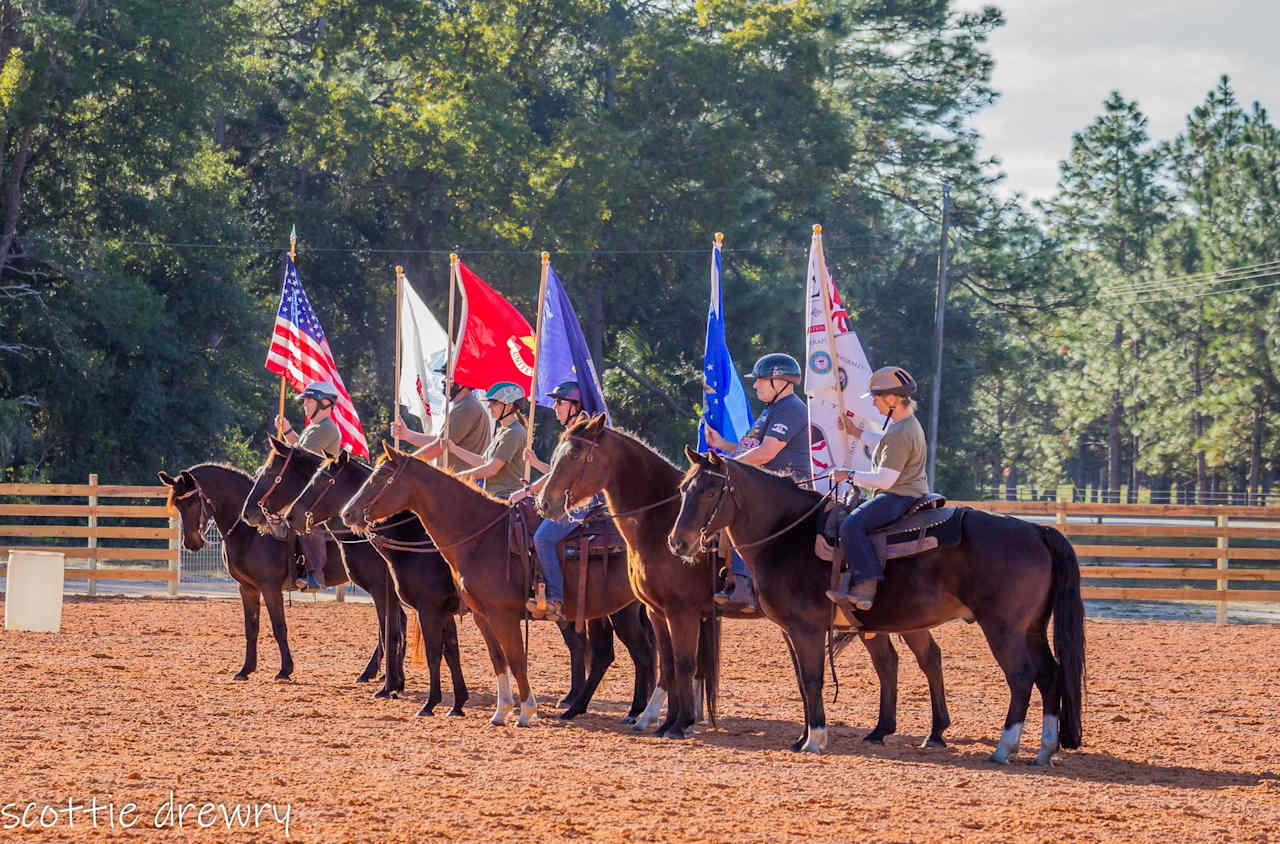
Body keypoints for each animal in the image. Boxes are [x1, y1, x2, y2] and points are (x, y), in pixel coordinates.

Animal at [244, 435, 409, 701]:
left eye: (269, 473)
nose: (248, 513)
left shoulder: (382, 588)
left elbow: (387, 631)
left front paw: (389, 684)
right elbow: (390, 631)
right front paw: (391, 680)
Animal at [537, 414, 952, 747]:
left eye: (576, 456)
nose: (546, 503)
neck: (659, 523)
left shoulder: (682, 612)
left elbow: (684, 664)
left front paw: (679, 724)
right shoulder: (657, 611)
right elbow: (668, 664)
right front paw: (666, 721)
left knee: (922, 658)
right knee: (897, 661)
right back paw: (892, 730)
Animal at [665, 448, 1085, 768]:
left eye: (709, 492)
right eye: (685, 488)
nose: (677, 543)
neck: (789, 535)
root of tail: (1036, 530)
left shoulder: (806, 627)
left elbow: (813, 679)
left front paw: (815, 739)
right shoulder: (790, 630)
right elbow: (803, 681)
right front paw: (801, 737)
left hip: (1003, 628)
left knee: (1022, 676)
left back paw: (1005, 747)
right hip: (1031, 628)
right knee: (1050, 674)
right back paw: (1044, 749)